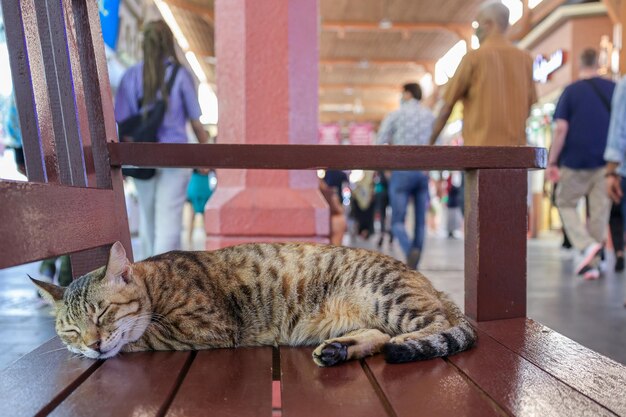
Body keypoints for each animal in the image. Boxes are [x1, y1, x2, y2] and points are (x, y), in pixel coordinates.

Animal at [33, 240, 472, 364]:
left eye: (103, 313)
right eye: (70, 329)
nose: (92, 344)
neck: (155, 283)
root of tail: (428, 282)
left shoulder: (205, 326)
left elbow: (142, 336)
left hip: (389, 296)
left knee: (436, 324)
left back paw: (403, 342)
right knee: (377, 335)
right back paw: (339, 350)